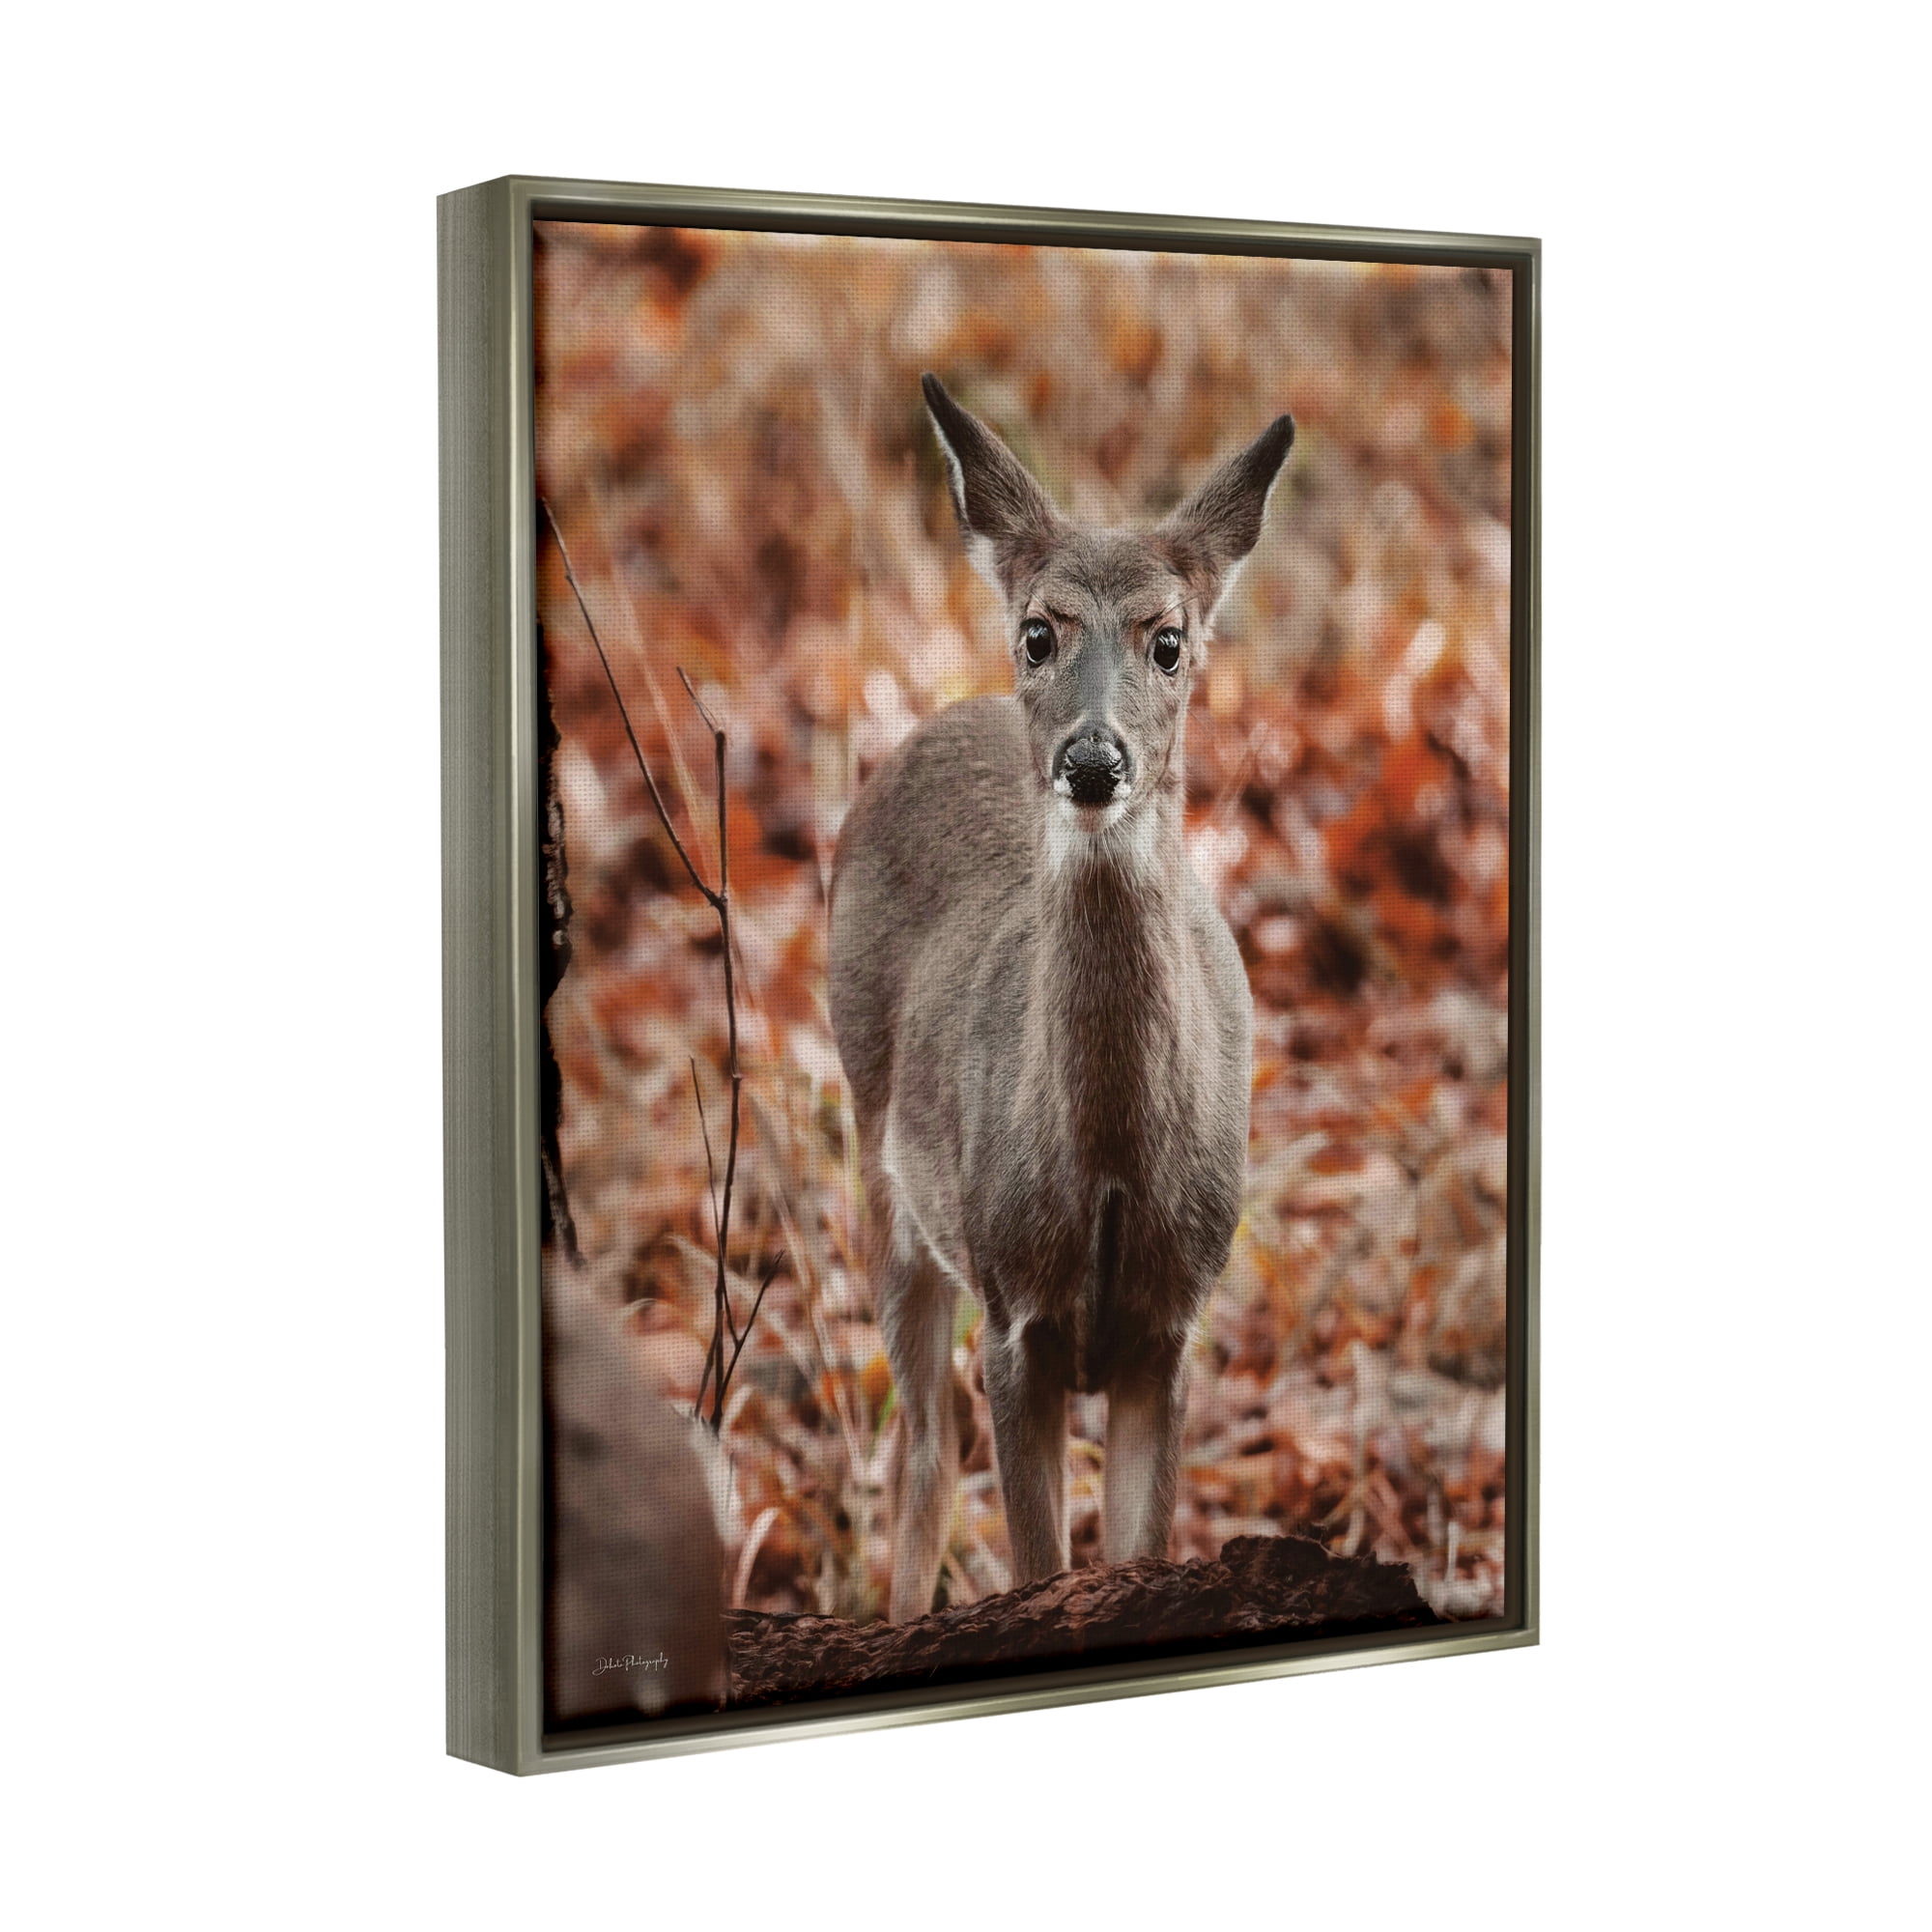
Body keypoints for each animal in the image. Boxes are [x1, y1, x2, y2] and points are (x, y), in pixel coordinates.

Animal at [829, 373, 1295, 1621]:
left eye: (1168, 640)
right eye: (1038, 632)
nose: (1092, 758)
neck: (1107, 1164)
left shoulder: (1170, 1327)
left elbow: (1135, 1548)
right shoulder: (1013, 1313)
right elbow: (1037, 1562)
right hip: (881, 1165)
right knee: (922, 1450)